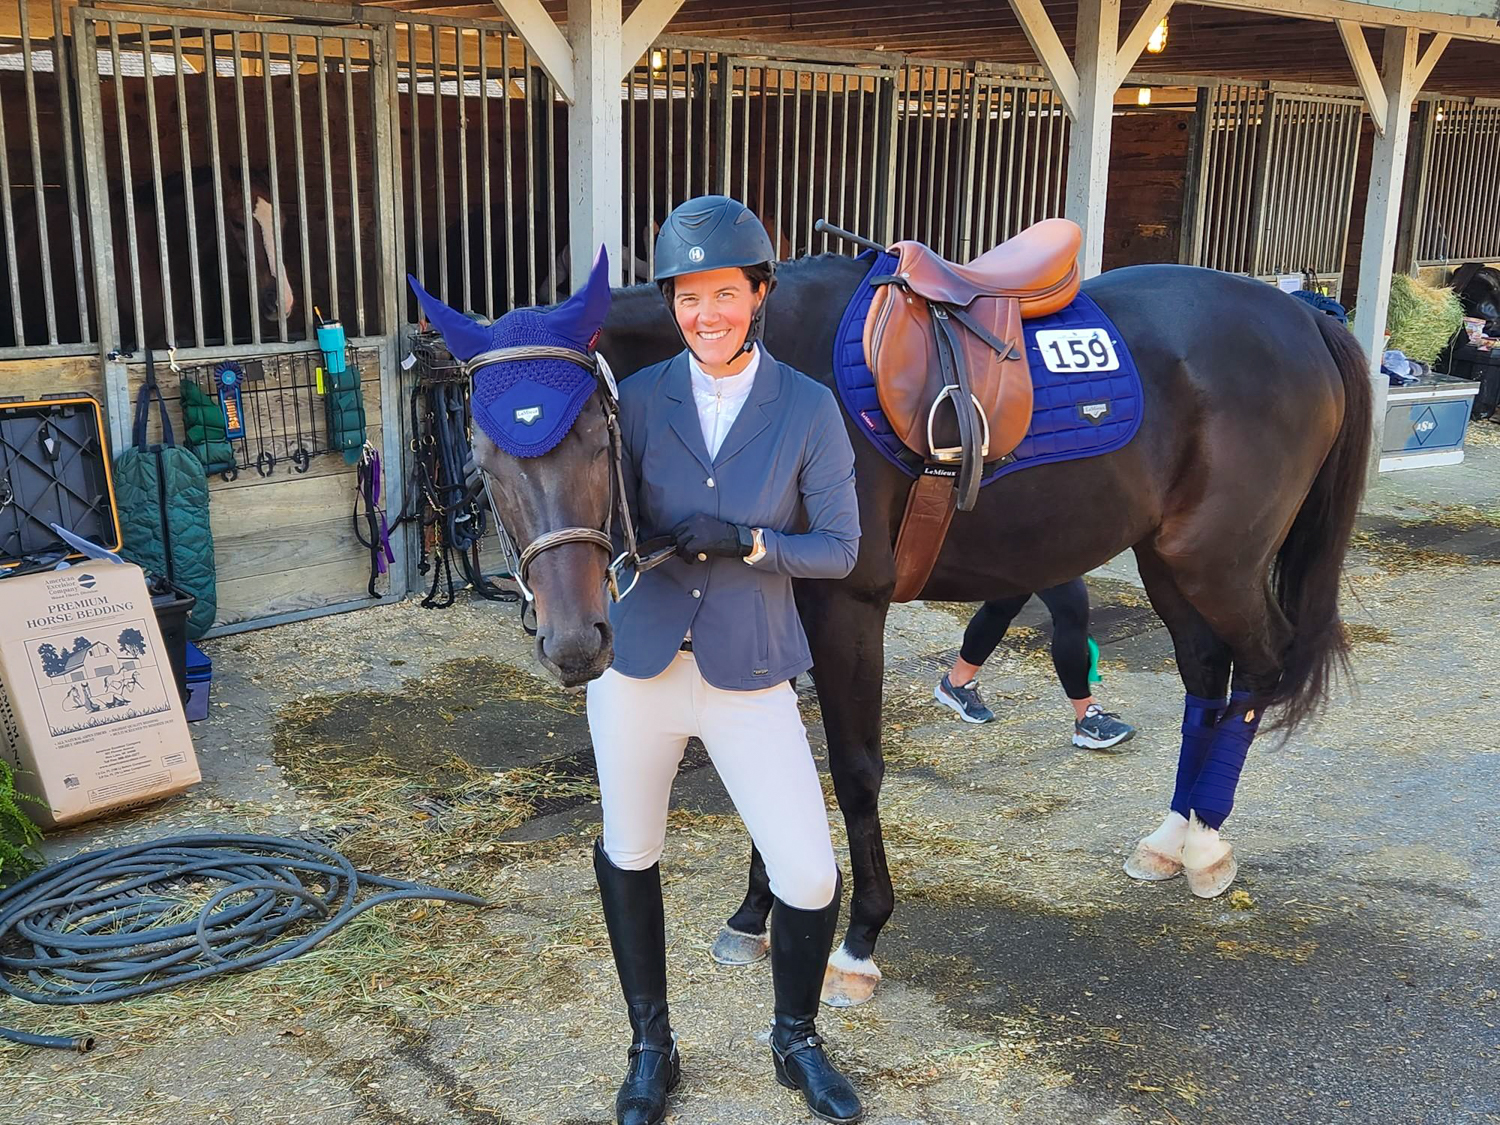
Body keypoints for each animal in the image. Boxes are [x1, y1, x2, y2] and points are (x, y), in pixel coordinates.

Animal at [419, 242, 1371, 1008]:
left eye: (590, 439)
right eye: (487, 454)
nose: (574, 642)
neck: (752, 369)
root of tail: (1300, 313)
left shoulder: (845, 607)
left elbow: (853, 771)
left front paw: (858, 937)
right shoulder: (778, 604)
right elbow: (776, 765)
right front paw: (757, 910)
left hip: (1221, 563)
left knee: (1258, 671)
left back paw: (1208, 843)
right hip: (1169, 559)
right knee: (1206, 676)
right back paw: (1172, 837)